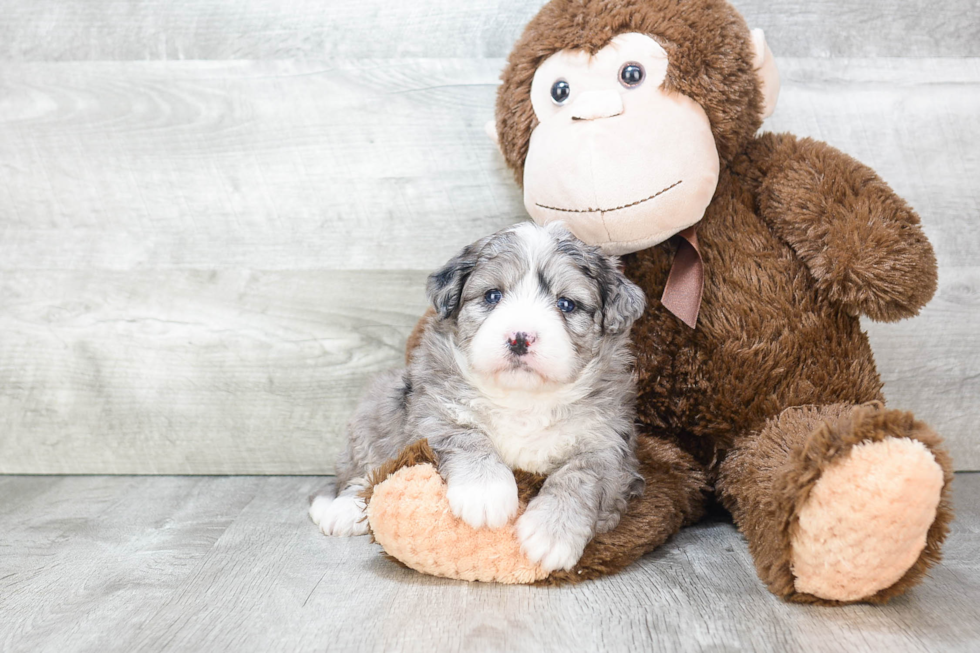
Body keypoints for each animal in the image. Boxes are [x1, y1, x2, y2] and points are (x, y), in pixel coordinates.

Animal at [314, 223, 648, 572]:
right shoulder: (434, 410)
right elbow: (467, 437)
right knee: (366, 468)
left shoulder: (610, 448)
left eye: (566, 304)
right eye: (492, 296)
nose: (519, 338)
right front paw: (486, 492)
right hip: (380, 403)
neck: (523, 399)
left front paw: (551, 531)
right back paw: (341, 510)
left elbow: (580, 476)